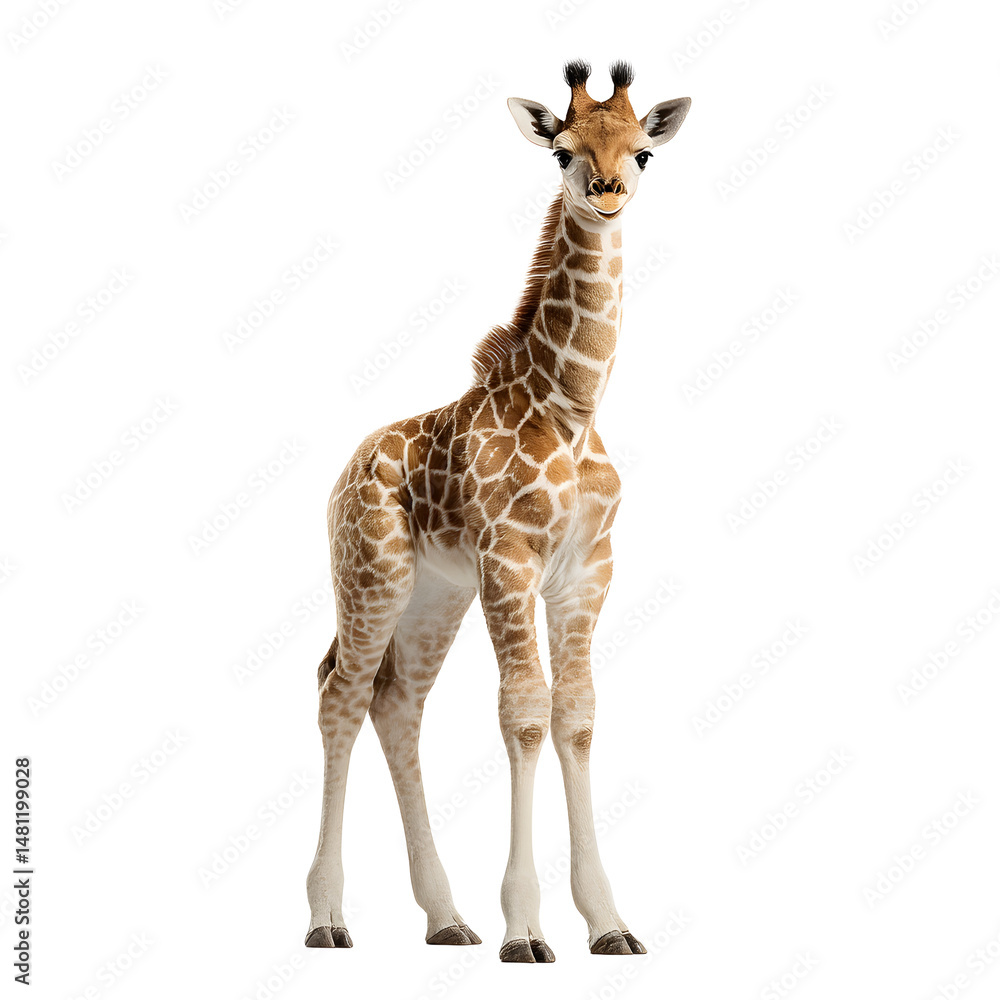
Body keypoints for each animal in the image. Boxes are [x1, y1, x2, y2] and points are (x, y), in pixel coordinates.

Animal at [305, 60, 690, 962]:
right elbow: (523, 713)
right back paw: (328, 918)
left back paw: (445, 917)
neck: (571, 404)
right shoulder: (510, 560)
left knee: (396, 705)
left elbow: (576, 715)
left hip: (434, 594)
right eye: (562, 151)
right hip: (371, 575)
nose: (608, 192)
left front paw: (608, 923)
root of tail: (342, 473)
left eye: (644, 151)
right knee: (340, 695)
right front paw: (525, 928)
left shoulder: (586, 571)